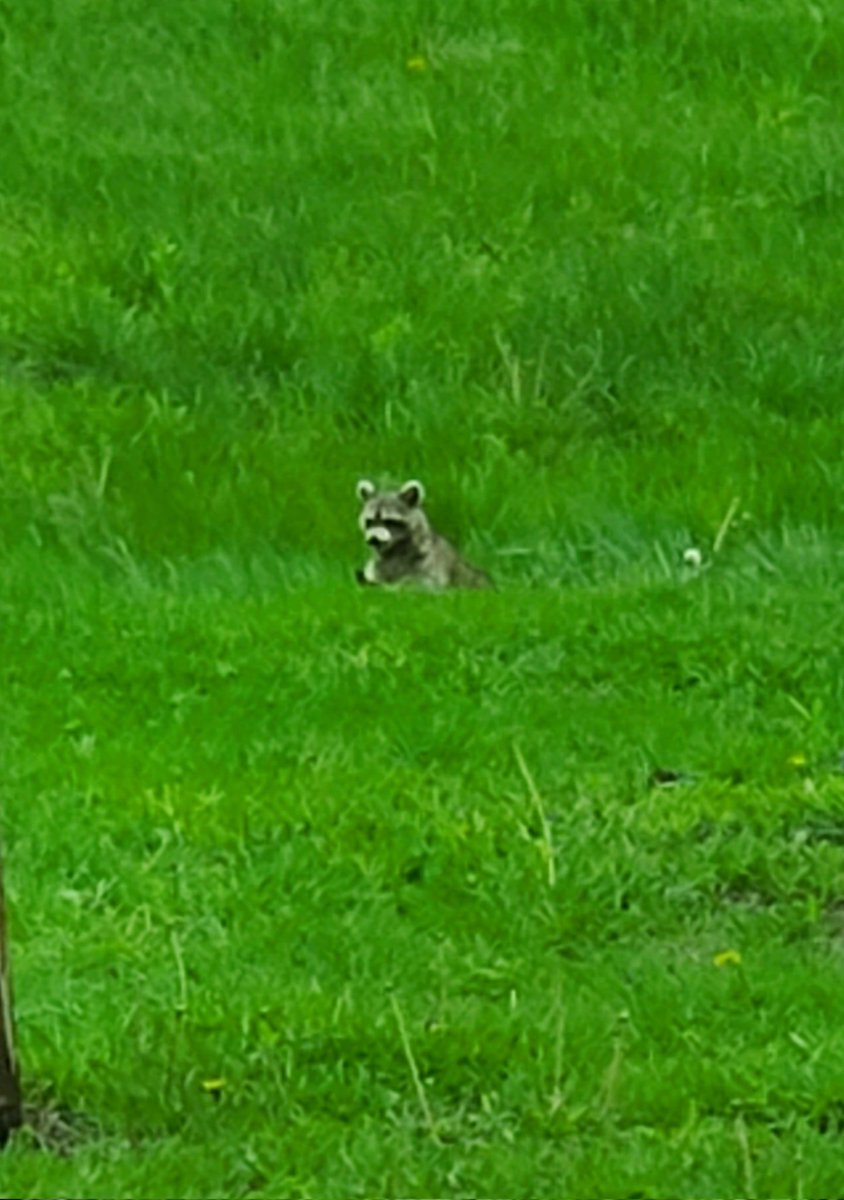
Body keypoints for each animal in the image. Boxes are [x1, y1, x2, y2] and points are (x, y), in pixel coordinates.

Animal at [355, 478, 492, 590]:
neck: (394, 547)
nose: (373, 539)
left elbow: (420, 584)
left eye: (388, 521)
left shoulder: (429, 566)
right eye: (370, 522)